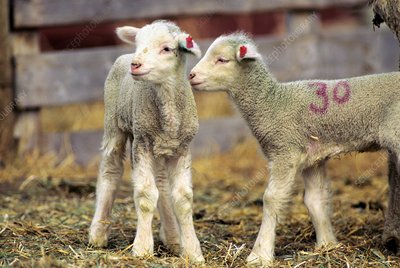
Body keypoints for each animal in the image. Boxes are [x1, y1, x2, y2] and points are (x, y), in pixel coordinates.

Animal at [88, 19, 205, 262]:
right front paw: (142, 248)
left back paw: (172, 237)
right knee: (110, 171)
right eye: (138, 43)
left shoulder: (182, 148)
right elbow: (145, 194)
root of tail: (123, 56)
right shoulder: (141, 143)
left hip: (158, 146)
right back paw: (98, 233)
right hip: (114, 125)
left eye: (167, 48)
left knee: (161, 183)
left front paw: (192, 250)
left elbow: (183, 198)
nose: (136, 64)